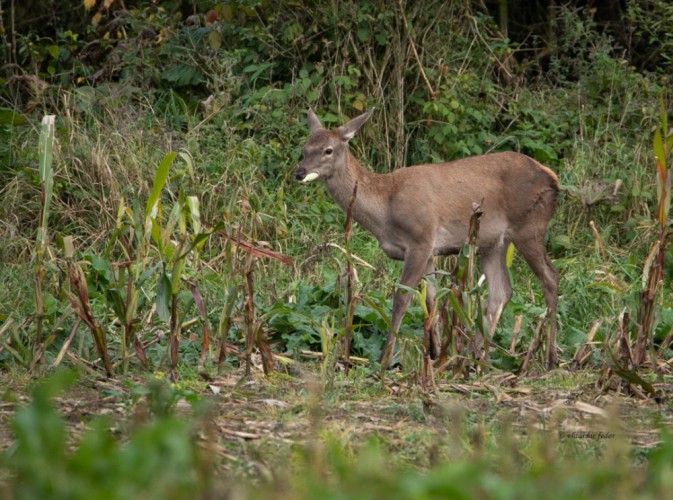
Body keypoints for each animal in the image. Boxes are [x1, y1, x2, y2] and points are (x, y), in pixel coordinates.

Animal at [292, 109, 556, 370]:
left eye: (328, 150)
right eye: (304, 148)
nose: (299, 172)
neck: (384, 209)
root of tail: (552, 178)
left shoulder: (420, 240)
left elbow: (402, 298)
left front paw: (385, 360)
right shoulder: (430, 252)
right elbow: (431, 300)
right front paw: (435, 354)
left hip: (529, 226)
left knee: (550, 278)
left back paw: (550, 359)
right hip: (492, 242)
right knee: (502, 292)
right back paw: (472, 357)